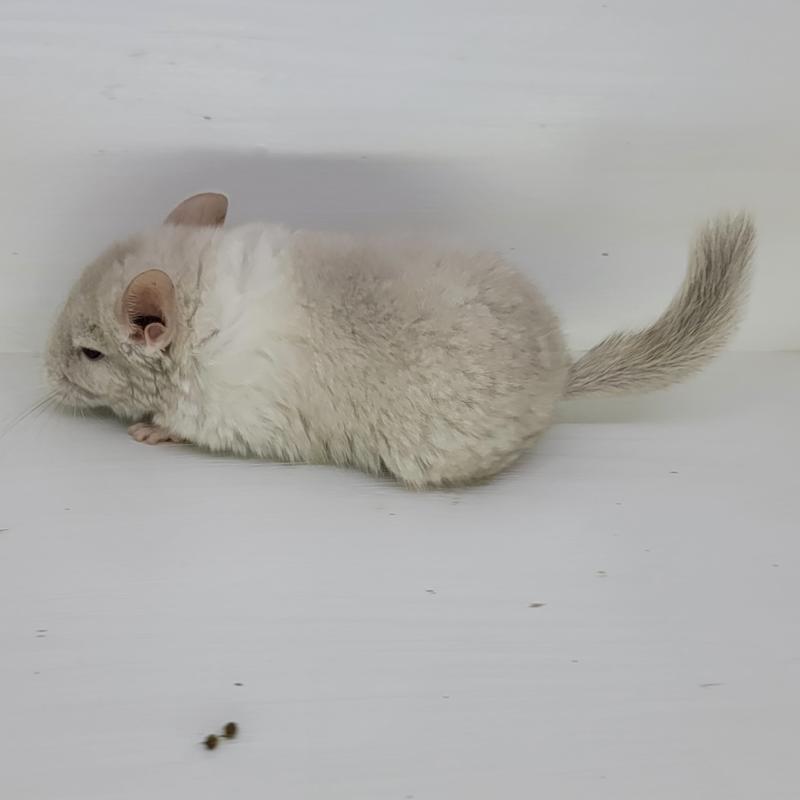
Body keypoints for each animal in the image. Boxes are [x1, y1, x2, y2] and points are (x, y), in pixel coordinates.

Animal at [45, 192, 755, 488]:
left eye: (89, 353)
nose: (44, 377)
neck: (197, 311)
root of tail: (560, 375)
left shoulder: (224, 414)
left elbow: (178, 426)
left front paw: (146, 431)